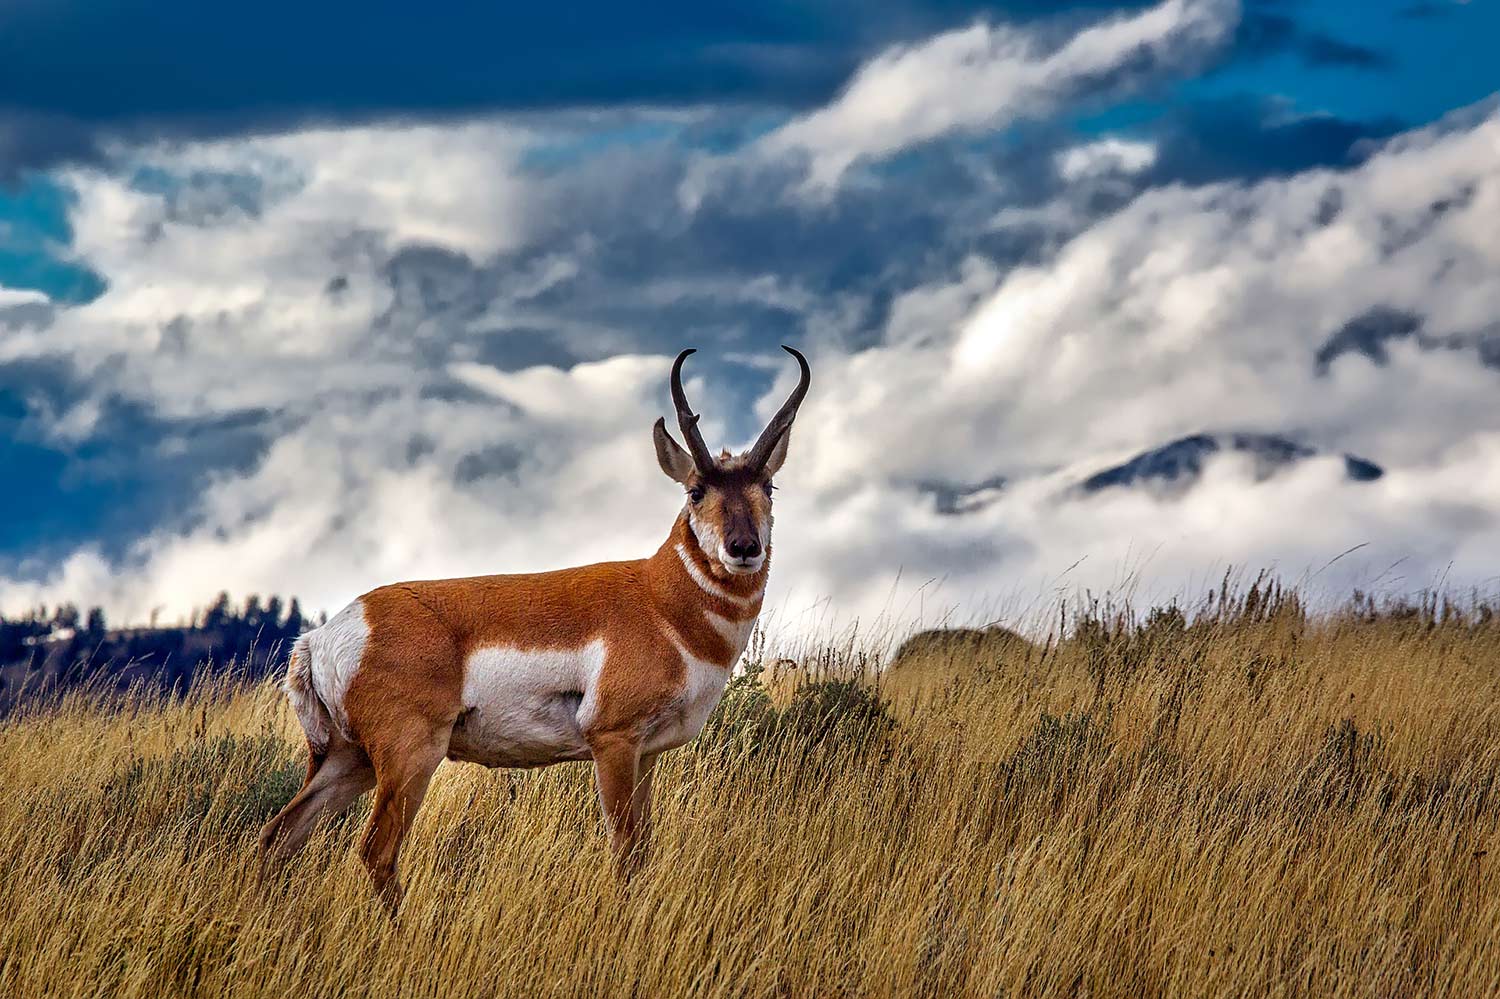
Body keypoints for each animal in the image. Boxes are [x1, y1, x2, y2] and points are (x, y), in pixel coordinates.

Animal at [258, 346, 810, 908]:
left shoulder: (648, 755)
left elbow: (644, 851)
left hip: (349, 761)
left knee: (280, 833)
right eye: (696, 490)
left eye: (768, 486)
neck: (659, 600)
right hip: (410, 756)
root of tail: (323, 637)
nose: (744, 548)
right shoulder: (613, 742)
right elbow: (625, 854)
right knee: (375, 851)